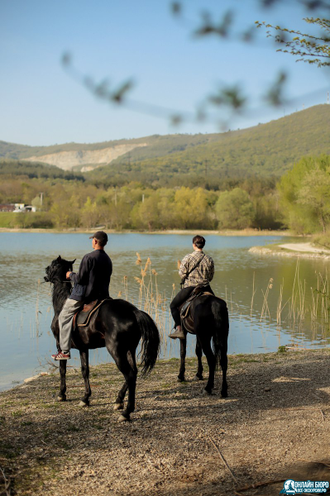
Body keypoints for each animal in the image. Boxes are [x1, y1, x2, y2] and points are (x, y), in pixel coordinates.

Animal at [44, 258, 160, 420]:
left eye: (53, 265)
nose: (45, 272)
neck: (62, 303)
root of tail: (133, 311)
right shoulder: (83, 348)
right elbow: (85, 370)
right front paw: (85, 398)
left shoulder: (60, 344)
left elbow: (62, 369)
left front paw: (62, 394)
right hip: (129, 348)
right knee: (134, 372)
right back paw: (118, 400)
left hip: (116, 350)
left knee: (130, 375)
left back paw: (126, 412)